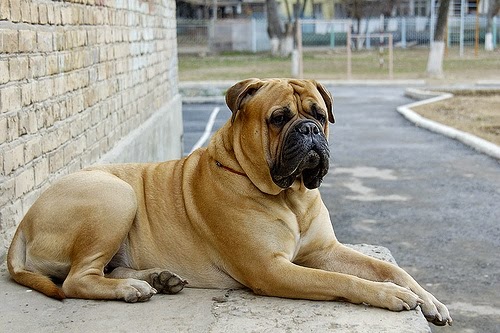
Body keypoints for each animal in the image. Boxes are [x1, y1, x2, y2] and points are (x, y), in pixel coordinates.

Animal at [7, 78, 454, 324]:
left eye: (318, 114)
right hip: (116, 194)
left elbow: (386, 268)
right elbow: (343, 281)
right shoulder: (272, 269)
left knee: (103, 269)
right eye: (278, 118)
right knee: (77, 280)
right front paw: (392, 296)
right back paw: (132, 289)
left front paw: (429, 299)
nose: (310, 130)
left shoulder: (324, 250)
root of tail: (23, 224)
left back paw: (156, 278)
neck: (289, 196)